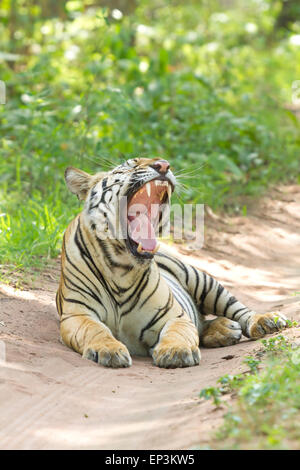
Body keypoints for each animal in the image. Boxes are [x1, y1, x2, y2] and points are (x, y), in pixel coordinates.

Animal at [56, 158, 288, 368]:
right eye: (130, 165)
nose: (163, 165)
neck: (120, 267)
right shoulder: (78, 314)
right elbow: (96, 330)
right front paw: (109, 350)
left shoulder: (174, 315)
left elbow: (178, 332)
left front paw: (177, 352)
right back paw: (225, 330)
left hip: (202, 280)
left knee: (238, 309)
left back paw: (266, 321)